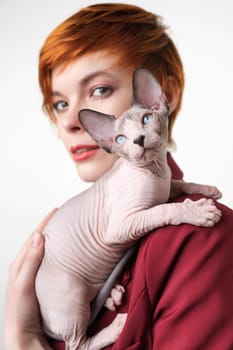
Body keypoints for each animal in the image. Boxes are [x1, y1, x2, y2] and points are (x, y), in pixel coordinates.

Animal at [35, 67, 221, 350]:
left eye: (147, 118)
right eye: (120, 139)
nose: (139, 140)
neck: (155, 172)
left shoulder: (166, 184)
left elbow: (179, 184)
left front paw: (207, 190)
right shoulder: (121, 226)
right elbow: (161, 210)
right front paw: (200, 212)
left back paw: (113, 295)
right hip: (71, 295)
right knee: (78, 344)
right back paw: (116, 327)